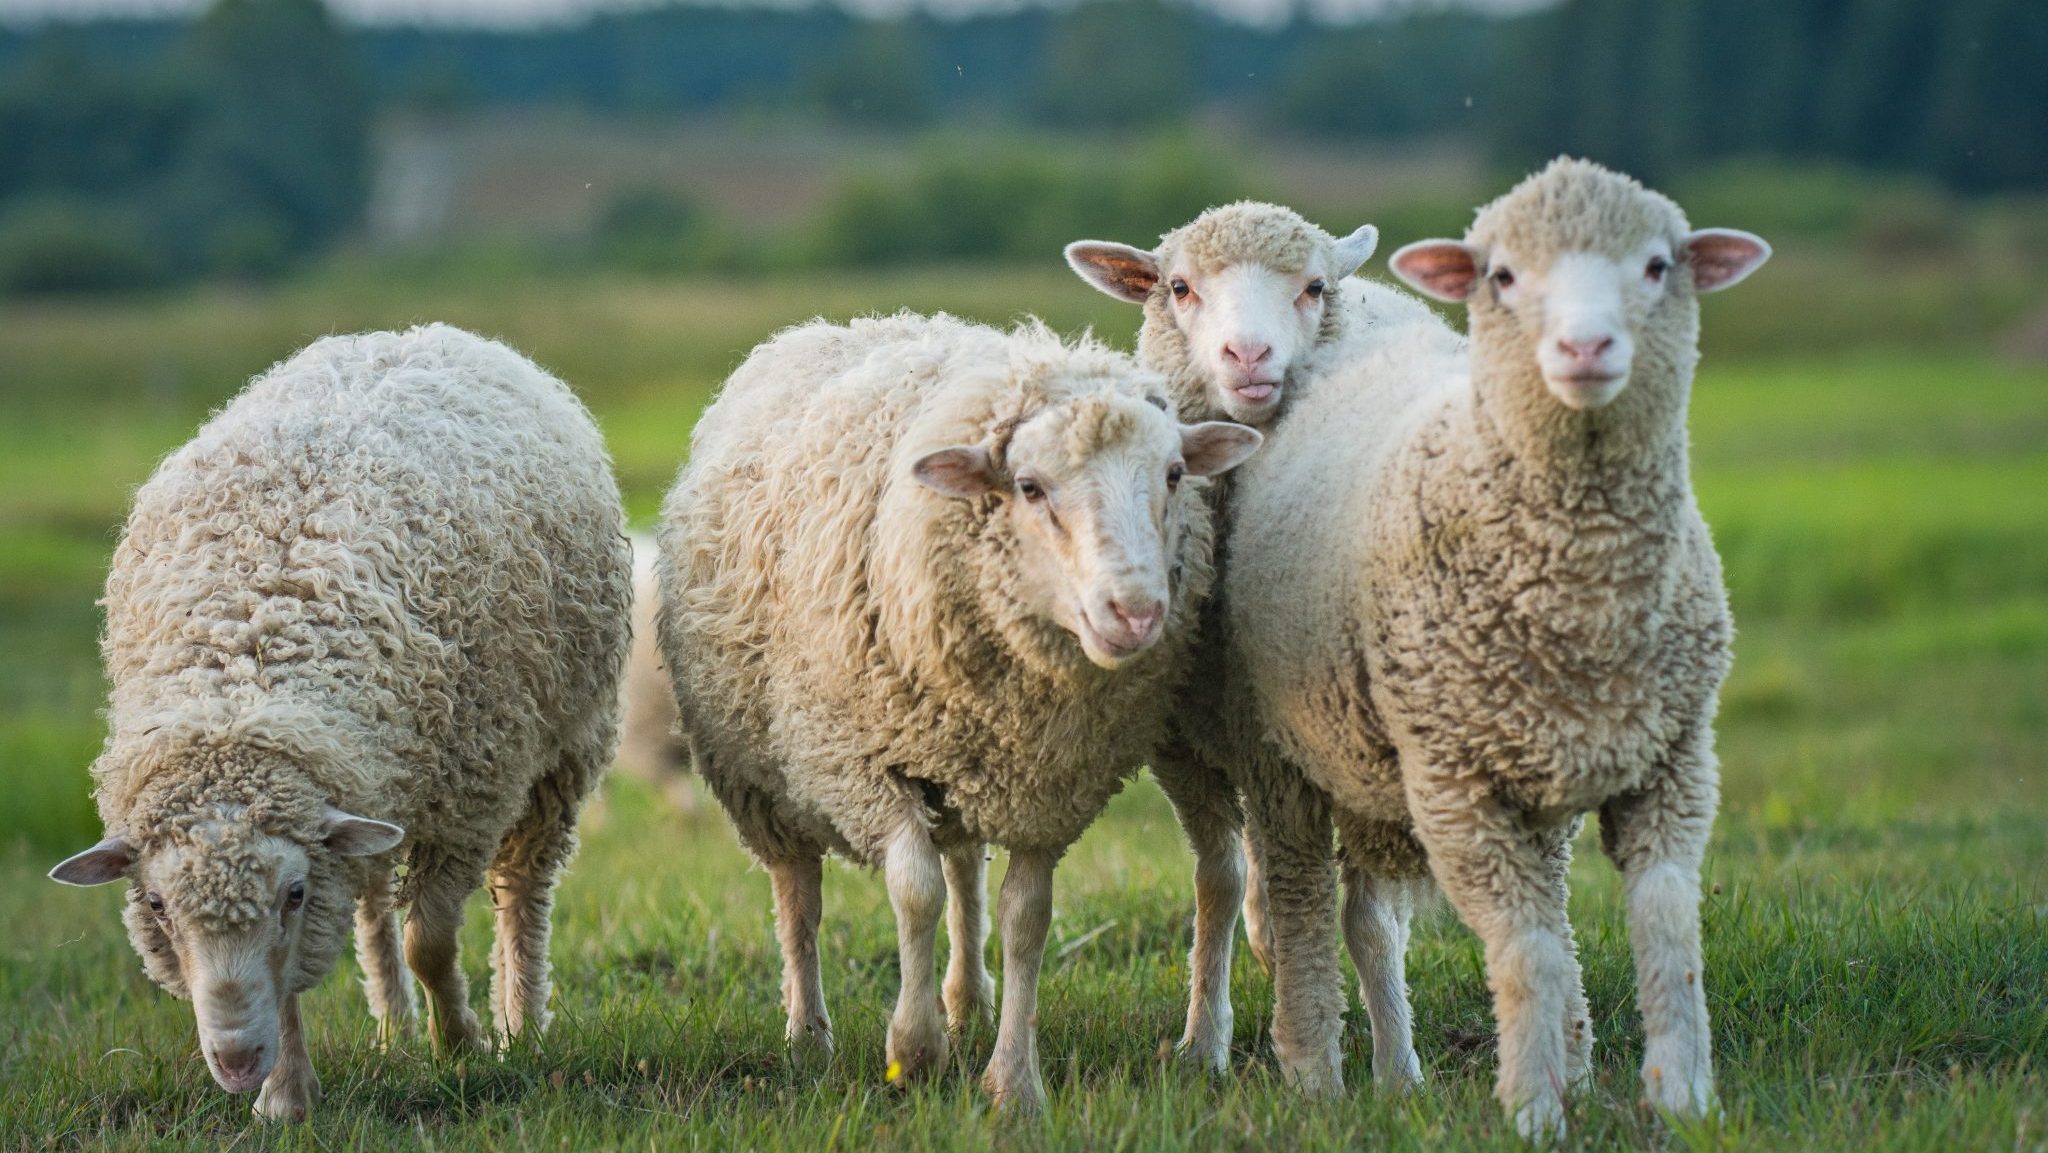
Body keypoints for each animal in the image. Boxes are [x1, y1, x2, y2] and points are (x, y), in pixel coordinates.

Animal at [51, 323, 634, 1122]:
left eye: (292, 895)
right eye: (158, 904)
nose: (236, 1061)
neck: (245, 679)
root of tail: (415, 334)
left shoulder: (469, 796)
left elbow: (431, 941)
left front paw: (462, 1044)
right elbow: (295, 979)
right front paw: (287, 1096)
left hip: (559, 750)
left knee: (522, 889)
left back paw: (521, 1024)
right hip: (373, 781)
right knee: (371, 903)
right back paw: (392, 1028)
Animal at [659, 311, 1261, 1114]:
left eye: (1171, 475)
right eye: (1030, 486)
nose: (1134, 614)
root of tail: (840, 324)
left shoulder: (1047, 786)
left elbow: (1025, 918)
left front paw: (1012, 1081)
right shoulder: (863, 762)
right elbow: (912, 891)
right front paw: (914, 1051)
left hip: (959, 758)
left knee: (965, 864)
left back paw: (969, 1000)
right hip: (759, 773)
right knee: (799, 898)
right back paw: (809, 1033)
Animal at [1064, 202, 1449, 1081]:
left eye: (1313, 288)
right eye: (1178, 287)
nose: (1249, 356)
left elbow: (1368, 917)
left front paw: (1399, 1068)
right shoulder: (1181, 745)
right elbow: (1218, 879)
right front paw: (1203, 1042)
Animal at [1220, 157, 1769, 1138]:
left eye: (1659, 265)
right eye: (1503, 276)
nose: (1586, 347)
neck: (1582, 595)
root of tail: (1368, 304)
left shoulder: (1674, 760)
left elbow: (1668, 929)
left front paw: (1683, 1097)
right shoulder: (1455, 787)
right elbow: (1525, 951)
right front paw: (1534, 1109)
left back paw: (1575, 1053)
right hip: (1283, 749)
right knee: (1301, 896)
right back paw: (1314, 1068)